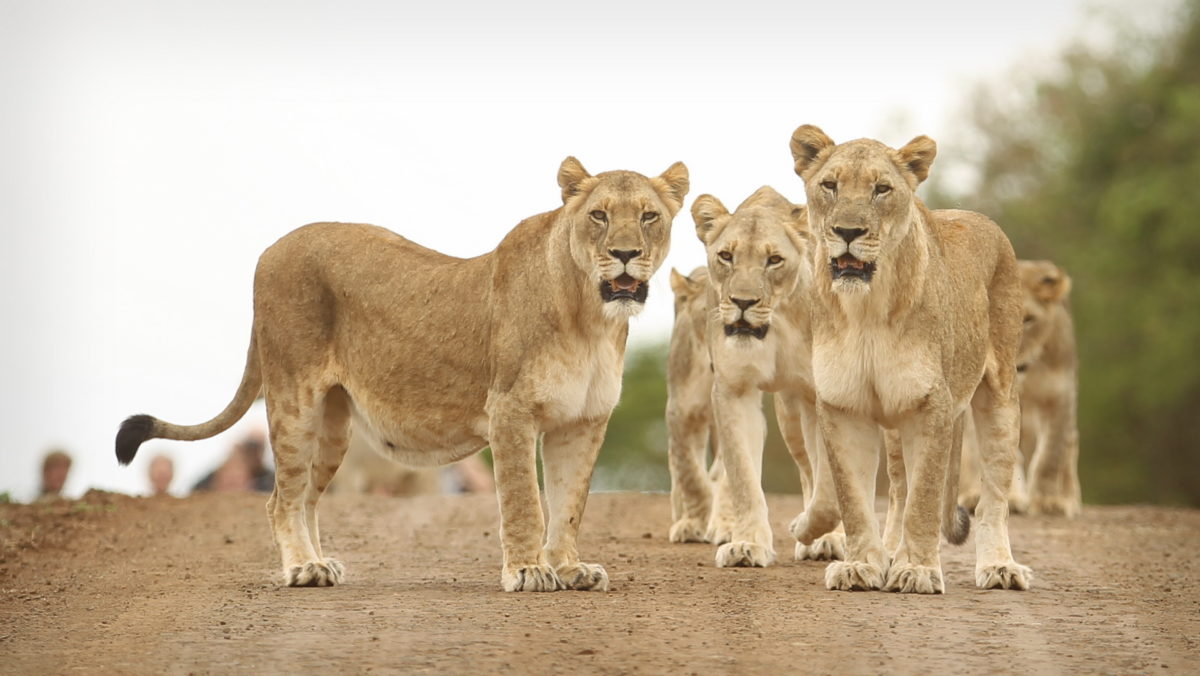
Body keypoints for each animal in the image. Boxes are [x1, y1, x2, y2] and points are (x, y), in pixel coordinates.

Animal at [115, 156, 689, 591]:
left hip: (333, 424)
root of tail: (271, 248)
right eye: (598, 215)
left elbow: (569, 502)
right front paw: (528, 572)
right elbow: (525, 499)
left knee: (305, 497)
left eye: (648, 216)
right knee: (282, 498)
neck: (591, 318)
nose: (624, 254)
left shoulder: (583, 421)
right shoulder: (510, 411)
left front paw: (570, 570)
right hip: (293, 397)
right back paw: (301, 568)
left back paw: (320, 563)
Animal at [665, 187, 845, 567]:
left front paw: (817, 534)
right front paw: (747, 544)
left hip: (791, 413)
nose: (743, 302)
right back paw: (694, 523)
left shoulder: (818, 395)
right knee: (691, 465)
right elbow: (742, 476)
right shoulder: (734, 391)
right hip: (688, 401)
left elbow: (828, 486)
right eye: (726, 256)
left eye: (774, 260)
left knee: (807, 468)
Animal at [790, 124, 1032, 593]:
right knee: (899, 490)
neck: (865, 310)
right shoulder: (845, 405)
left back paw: (999, 567)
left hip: (1000, 398)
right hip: (894, 424)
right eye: (830, 185)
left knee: (992, 498)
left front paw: (917, 570)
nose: (848, 231)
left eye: (881, 189)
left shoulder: (930, 404)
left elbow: (925, 497)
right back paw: (887, 553)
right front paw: (861, 564)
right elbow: (853, 498)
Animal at [959, 260, 1080, 517]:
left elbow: (1050, 456)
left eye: (1029, 319)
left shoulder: (1061, 397)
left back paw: (1069, 498)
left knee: (1069, 446)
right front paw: (1012, 499)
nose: (1009, 359)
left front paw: (1048, 501)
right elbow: (1002, 453)